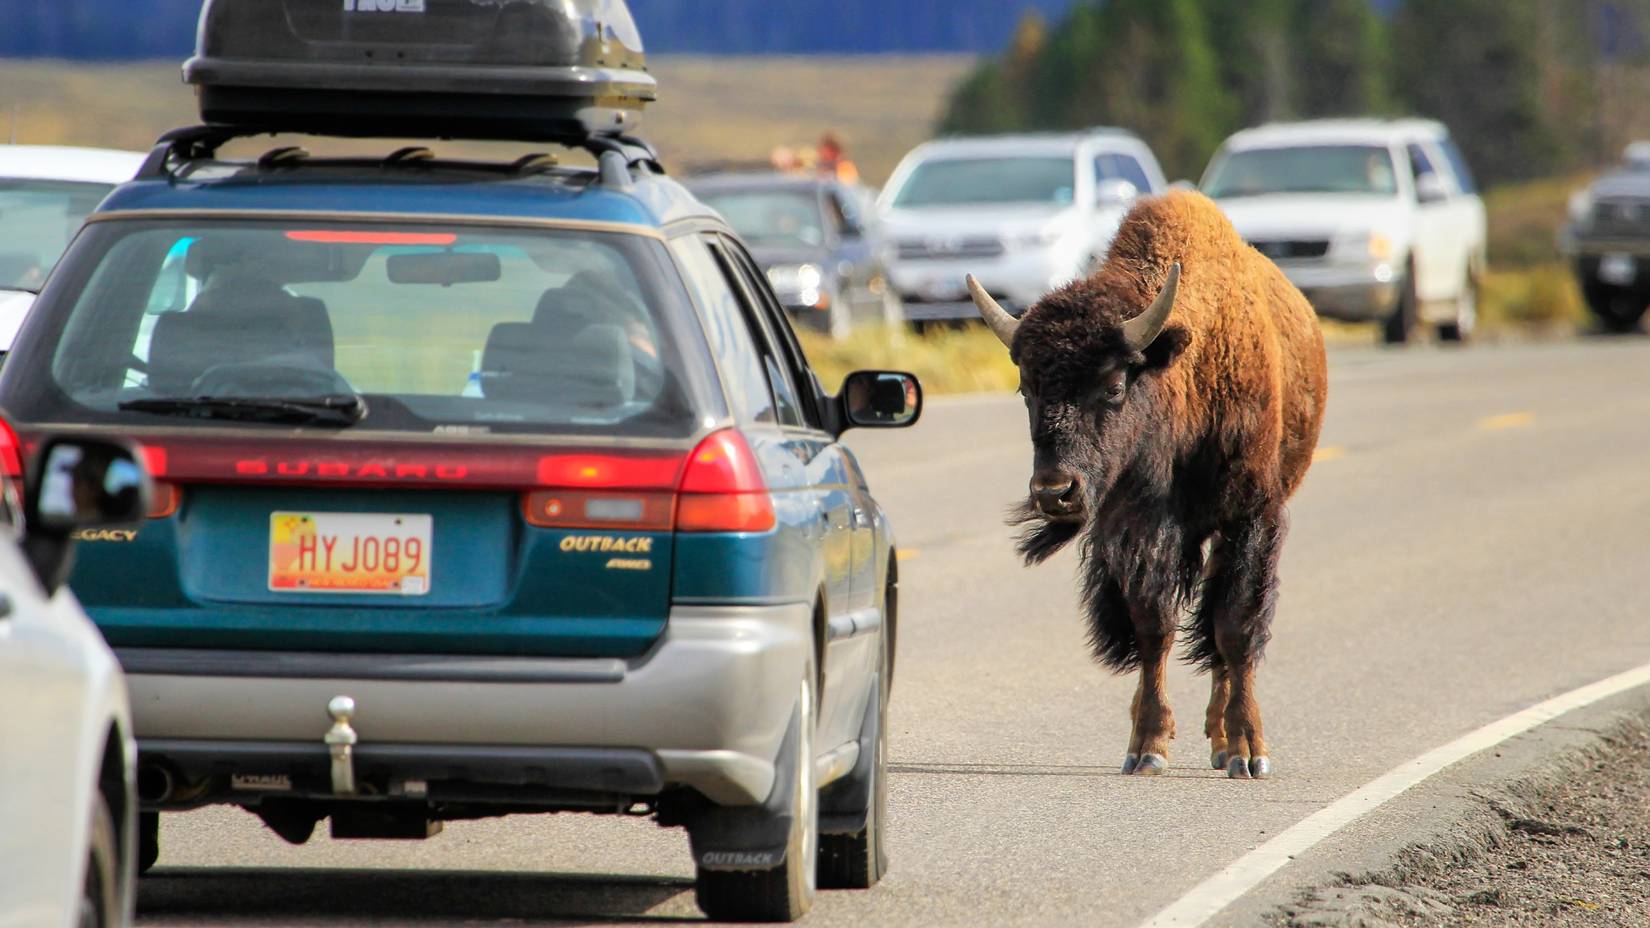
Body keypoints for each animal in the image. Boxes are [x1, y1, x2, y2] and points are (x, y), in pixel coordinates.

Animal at [968, 190, 1328, 779]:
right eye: (1026, 388)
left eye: (1114, 384)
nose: (1054, 491)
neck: (1184, 373)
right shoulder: (1136, 527)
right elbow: (1153, 626)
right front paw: (1148, 745)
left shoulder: (1252, 515)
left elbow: (1234, 626)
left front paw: (1249, 750)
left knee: (1219, 630)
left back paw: (1223, 741)